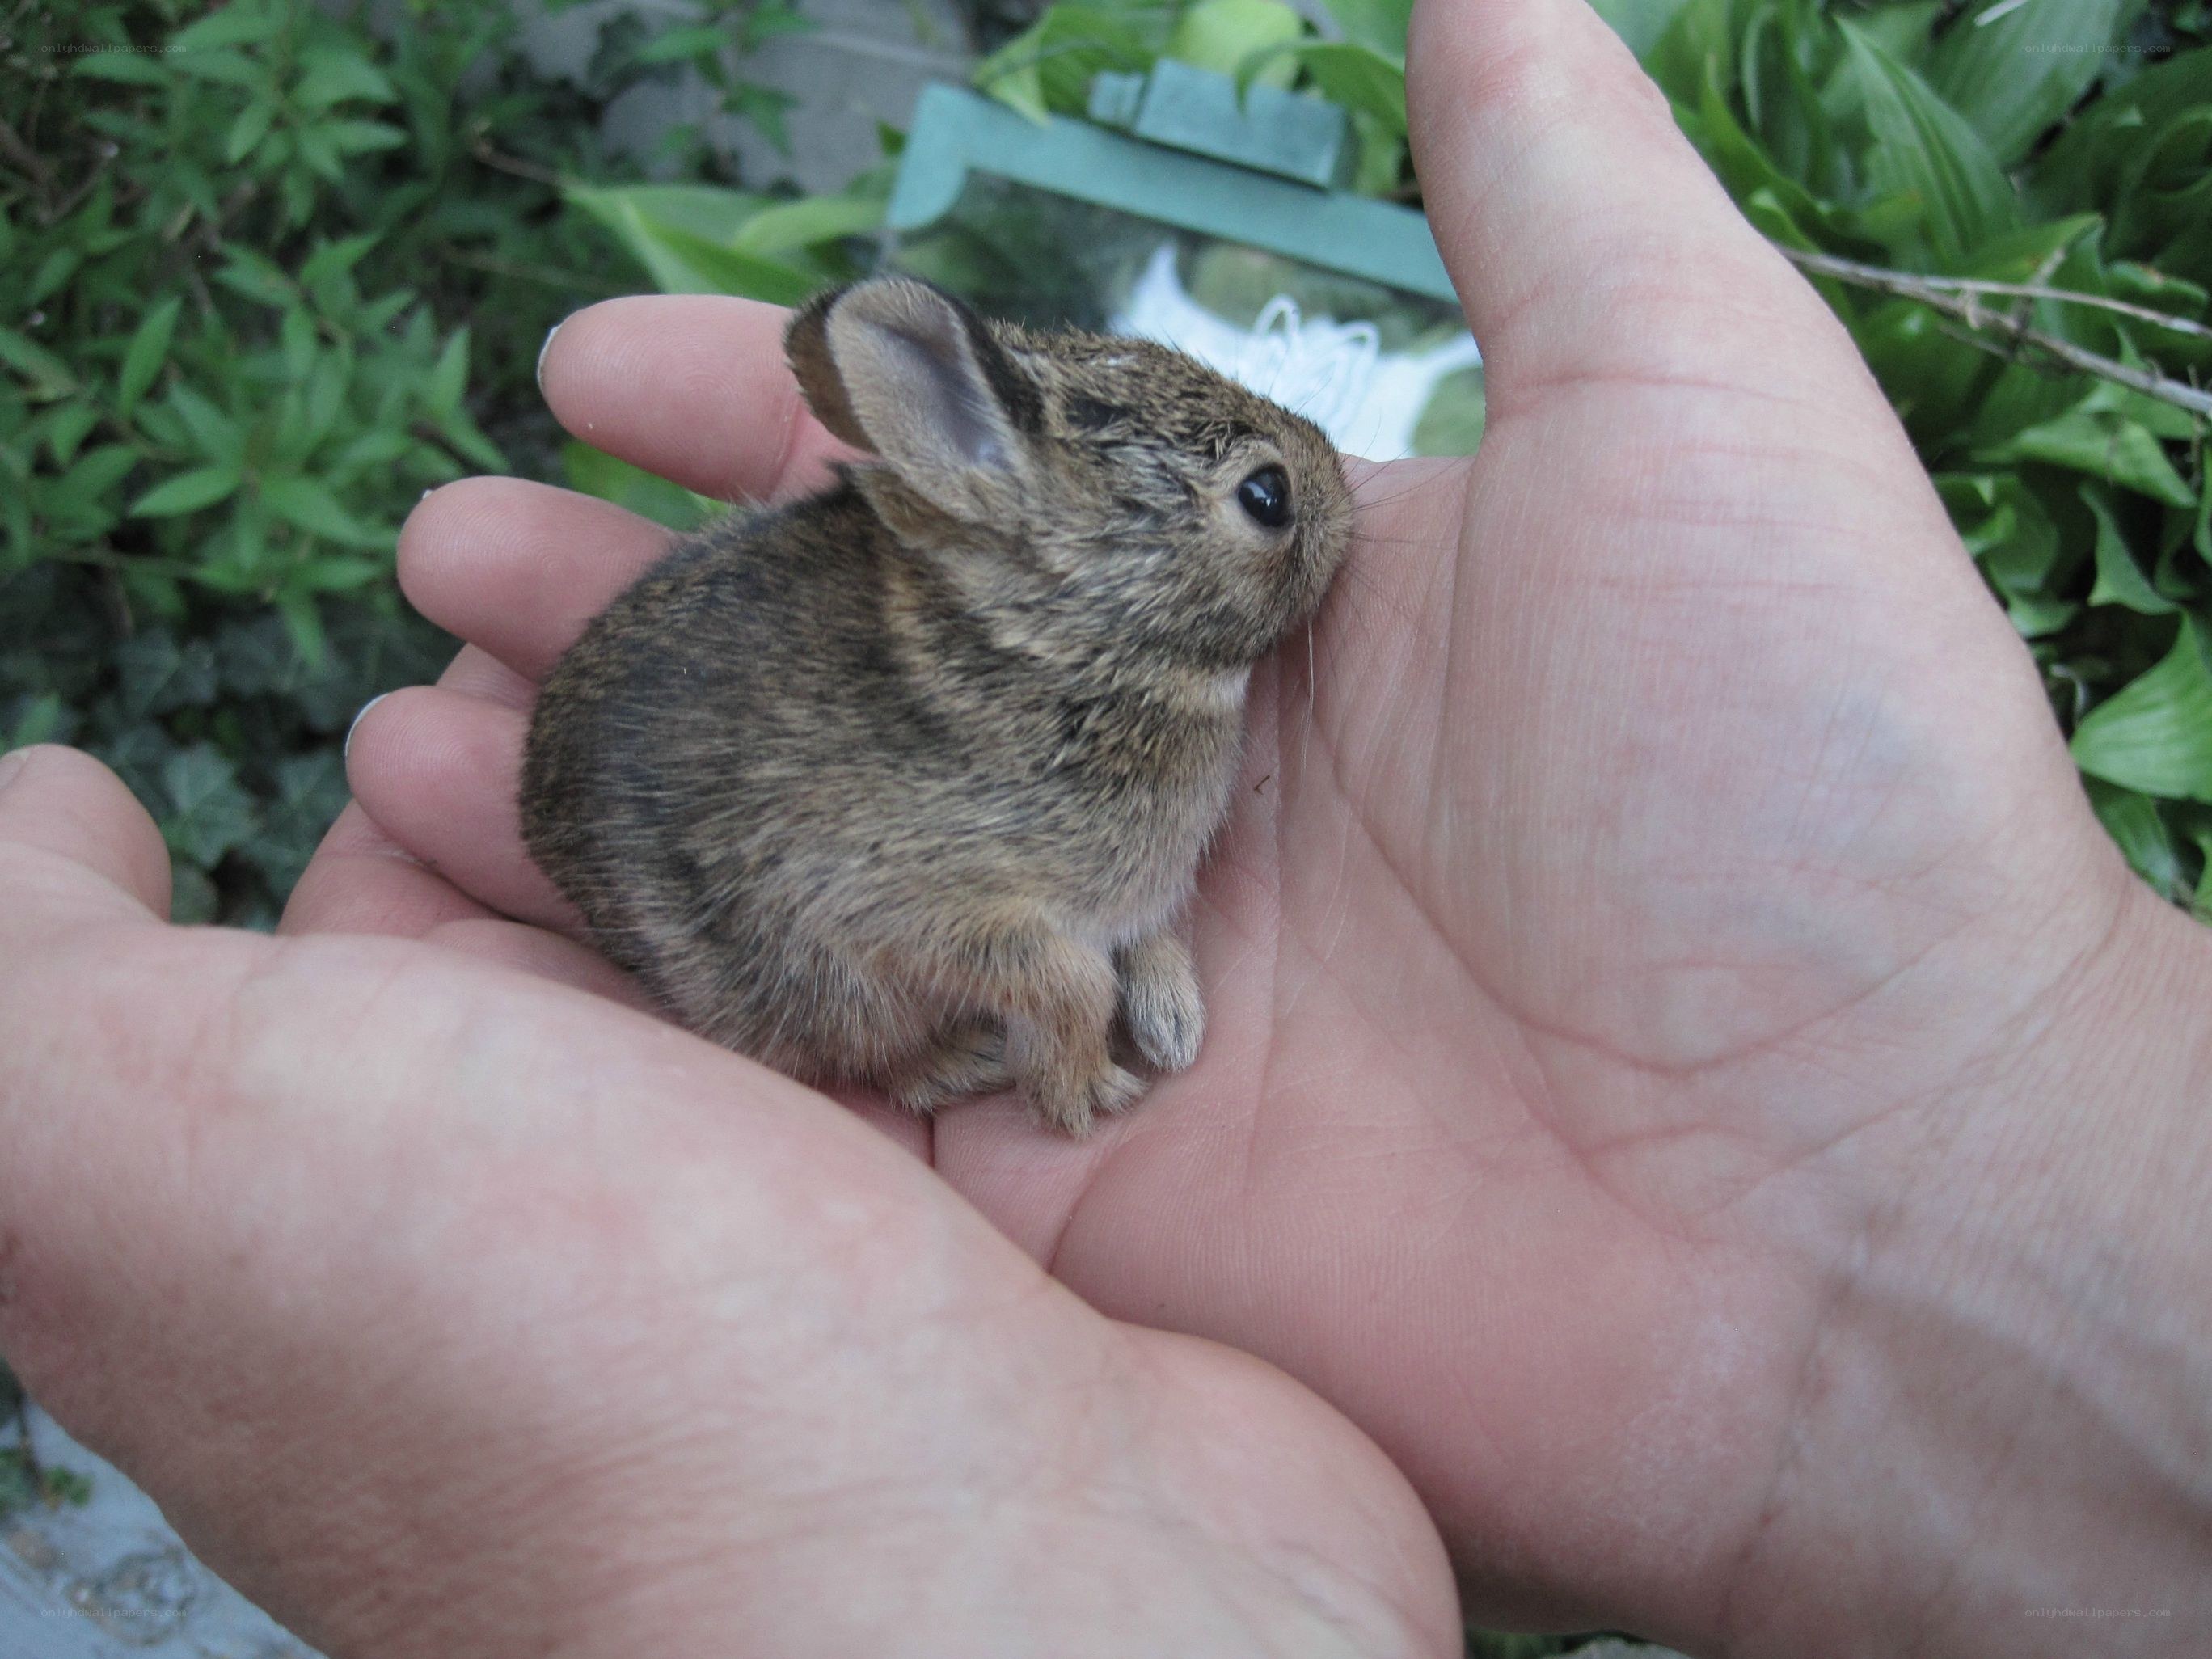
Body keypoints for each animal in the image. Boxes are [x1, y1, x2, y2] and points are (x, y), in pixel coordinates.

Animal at [519, 275, 1353, 1134]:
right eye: (1266, 496)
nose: (1337, 479)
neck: (1070, 652)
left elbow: (1148, 938)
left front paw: (1173, 1026)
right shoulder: (895, 905)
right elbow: (1072, 984)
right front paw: (1087, 1093)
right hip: (804, 989)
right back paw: (962, 1062)